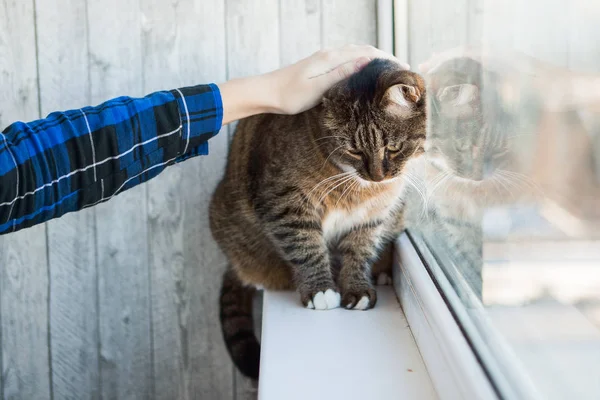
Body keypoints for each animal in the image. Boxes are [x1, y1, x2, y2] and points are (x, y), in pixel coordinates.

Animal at [210, 58, 426, 378]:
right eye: (354, 150)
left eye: (393, 148)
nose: (377, 176)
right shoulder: (285, 202)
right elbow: (306, 246)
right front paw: (321, 290)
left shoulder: (372, 216)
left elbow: (360, 250)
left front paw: (357, 287)